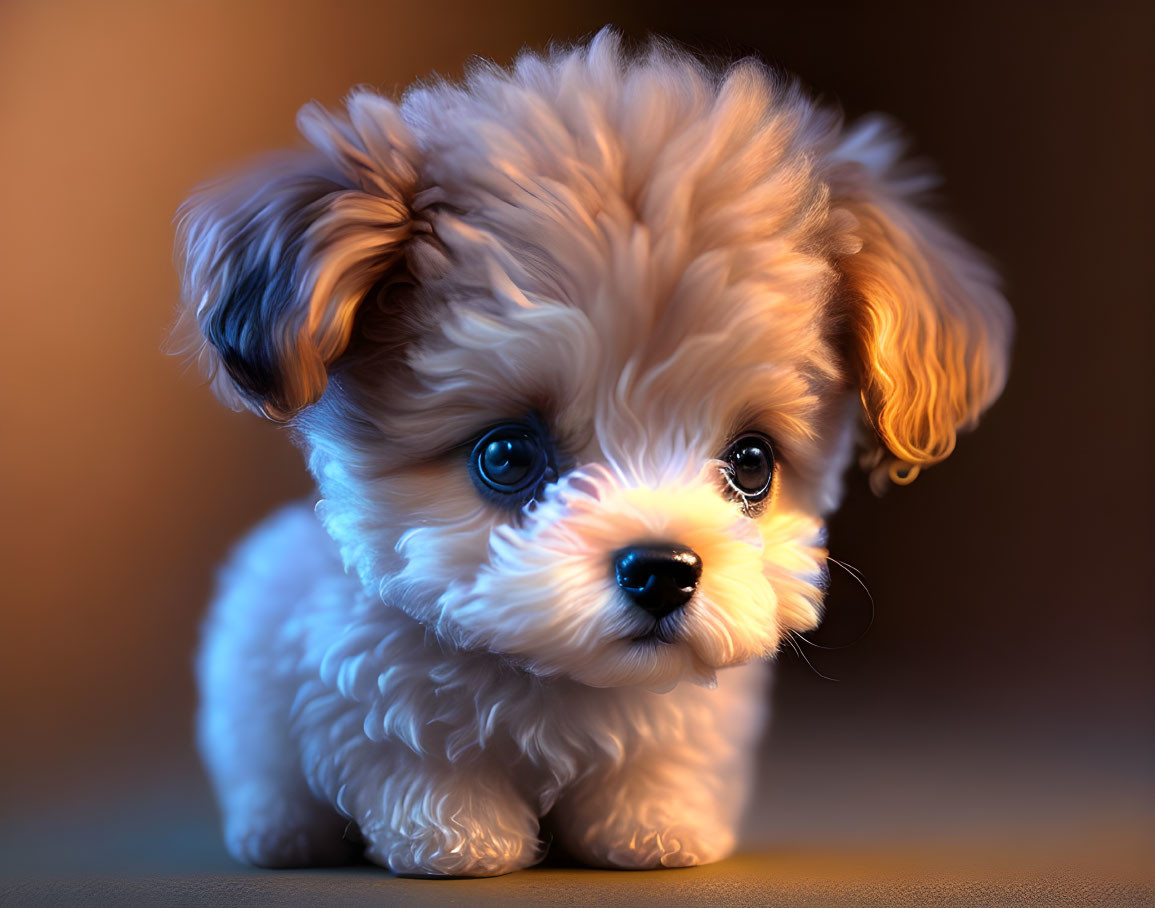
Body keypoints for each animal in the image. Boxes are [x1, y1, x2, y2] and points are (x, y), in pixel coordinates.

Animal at [177, 30, 1011, 877]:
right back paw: (279, 835)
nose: (662, 571)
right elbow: (425, 765)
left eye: (751, 463)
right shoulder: (370, 695)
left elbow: (653, 765)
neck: (560, 676)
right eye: (506, 456)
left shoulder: (681, 727)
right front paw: (457, 841)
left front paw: (654, 831)